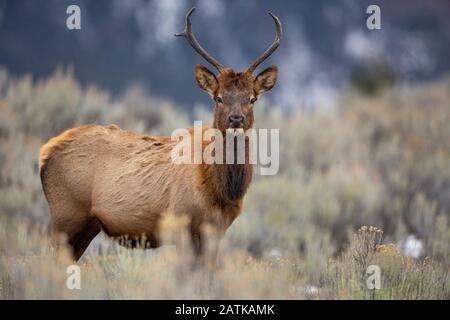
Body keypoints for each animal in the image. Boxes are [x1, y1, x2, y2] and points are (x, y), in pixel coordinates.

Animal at [39, 7, 282, 262]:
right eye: (219, 98)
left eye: (252, 99)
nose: (236, 119)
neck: (223, 192)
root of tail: (45, 152)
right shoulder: (180, 220)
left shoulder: (217, 229)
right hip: (66, 213)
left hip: (87, 224)